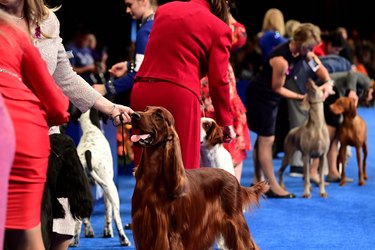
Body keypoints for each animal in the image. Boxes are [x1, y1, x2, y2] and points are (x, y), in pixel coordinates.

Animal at [70, 108, 132, 247]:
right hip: (111, 189)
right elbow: (108, 213)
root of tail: (86, 158)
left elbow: (86, 219)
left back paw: (73, 241)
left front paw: (89, 231)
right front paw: (107, 232)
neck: (90, 129)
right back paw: (124, 240)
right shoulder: (106, 188)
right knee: (116, 217)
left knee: (77, 221)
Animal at [131, 106, 268, 250]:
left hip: (236, 222)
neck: (152, 179)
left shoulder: (173, 234)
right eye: (145, 109)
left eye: (158, 115)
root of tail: (234, 179)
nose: (134, 115)